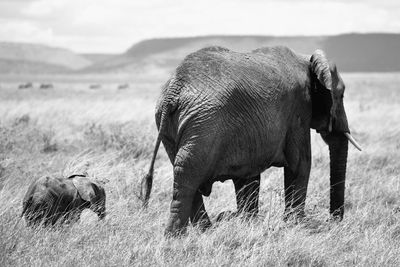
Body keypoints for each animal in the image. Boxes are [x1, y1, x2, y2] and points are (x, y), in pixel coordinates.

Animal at [141, 45, 362, 237]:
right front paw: (295, 225)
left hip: (177, 126)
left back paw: (204, 231)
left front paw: (248, 223)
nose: (333, 221)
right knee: (188, 175)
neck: (306, 59)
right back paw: (175, 237)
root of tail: (173, 92)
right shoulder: (298, 112)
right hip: (204, 125)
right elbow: (301, 164)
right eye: (341, 95)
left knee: (183, 172)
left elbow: (248, 174)